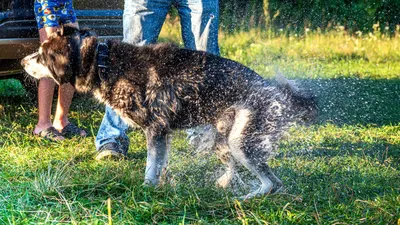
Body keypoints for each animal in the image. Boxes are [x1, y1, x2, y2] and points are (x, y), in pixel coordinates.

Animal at [21, 27, 318, 199]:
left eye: (41, 55)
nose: (22, 61)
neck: (102, 62)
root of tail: (275, 91)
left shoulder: (156, 130)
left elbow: (150, 167)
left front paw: (147, 190)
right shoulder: (162, 135)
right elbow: (160, 165)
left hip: (240, 142)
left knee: (272, 182)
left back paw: (246, 198)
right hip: (221, 140)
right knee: (237, 169)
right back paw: (224, 184)